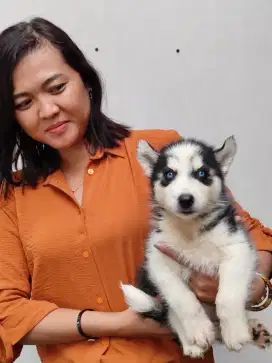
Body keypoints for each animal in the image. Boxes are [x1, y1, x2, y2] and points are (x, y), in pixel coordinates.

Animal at [121, 136, 272, 358]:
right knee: (173, 316)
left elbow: (227, 297)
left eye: (202, 173)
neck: (190, 229)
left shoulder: (237, 247)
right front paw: (199, 329)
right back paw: (193, 344)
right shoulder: (157, 261)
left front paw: (234, 332)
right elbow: (183, 299)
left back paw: (252, 331)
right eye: (169, 174)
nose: (185, 199)